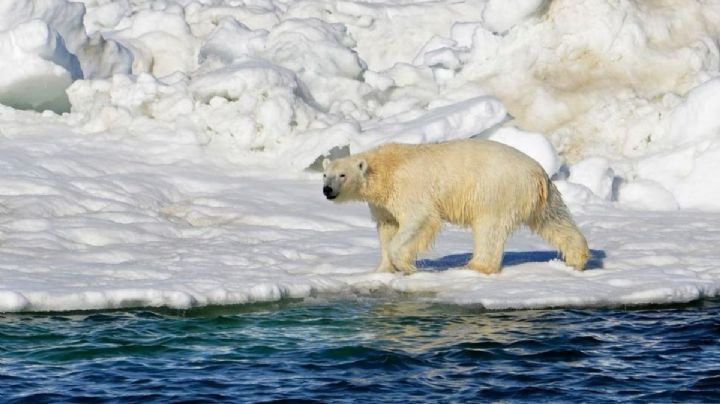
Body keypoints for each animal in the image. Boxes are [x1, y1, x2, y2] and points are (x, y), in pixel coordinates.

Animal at [324, 139, 588, 274]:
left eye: (342, 175)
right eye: (325, 174)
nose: (327, 190)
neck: (385, 168)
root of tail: (538, 174)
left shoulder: (409, 188)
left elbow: (419, 219)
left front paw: (406, 265)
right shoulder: (383, 203)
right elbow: (387, 227)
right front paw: (383, 269)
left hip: (496, 190)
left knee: (489, 228)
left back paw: (475, 266)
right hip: (541, 196)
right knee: (554, 220)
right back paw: (577, 258)